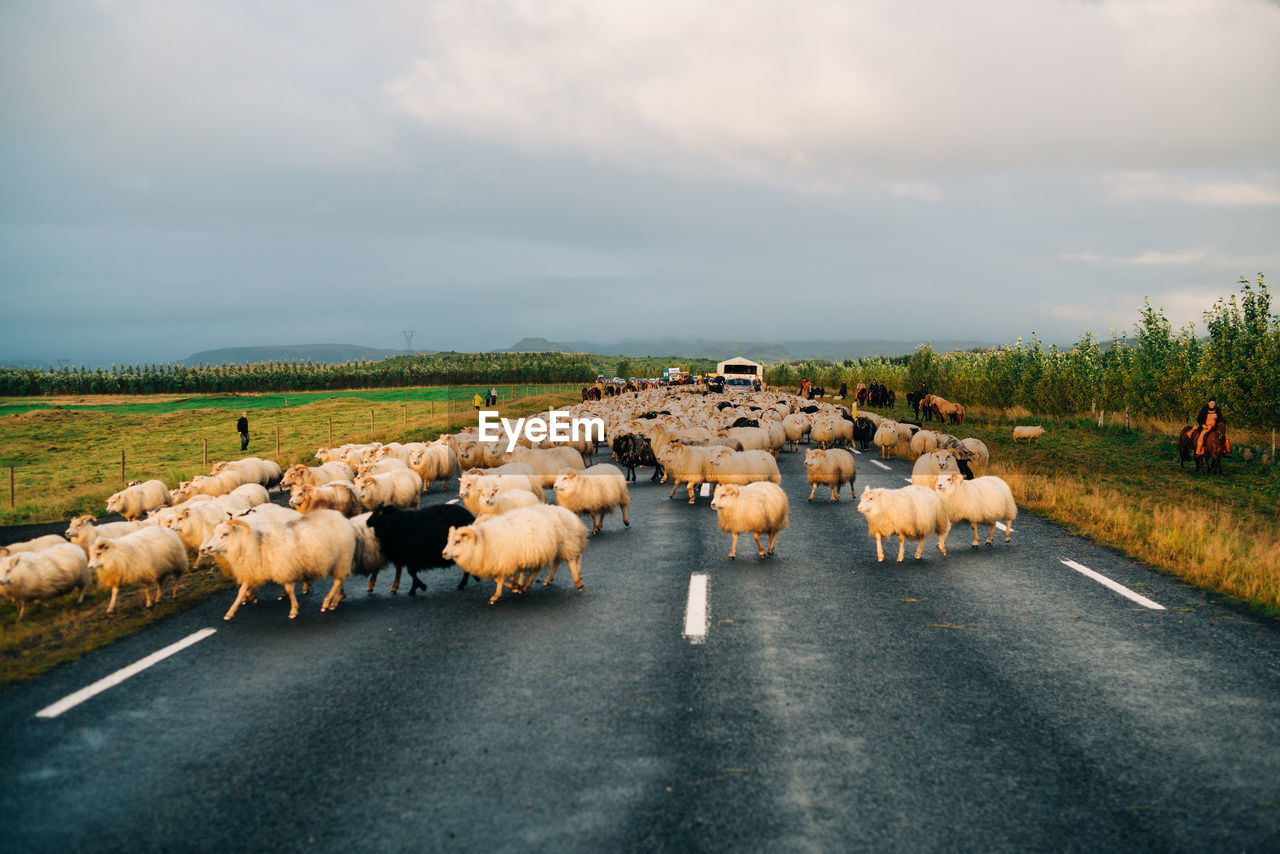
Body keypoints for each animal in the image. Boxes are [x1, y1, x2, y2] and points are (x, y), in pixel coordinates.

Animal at [202, 507, 358, 622]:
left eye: (225, 534)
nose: (208, 548)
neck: (255, 543)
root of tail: (339, 516)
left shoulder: (285, 568)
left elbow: (289, 589)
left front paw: (293, 610)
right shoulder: (253, 571)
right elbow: (241, 591)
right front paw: (230, 612)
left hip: (342, 557)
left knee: (337, 581)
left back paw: (327, 602)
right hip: (337, 561)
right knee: (339, 580)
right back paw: (337, 599)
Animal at [442, 504, 586, 604]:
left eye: (458, 541)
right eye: (448, 540)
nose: (444, 553)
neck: (483, 539)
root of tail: (569, 514)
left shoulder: (503, 561)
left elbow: (500, 579)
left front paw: (498, 595)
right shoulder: (503, 562)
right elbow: (504, 578)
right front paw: (515, 586)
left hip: (566, 543)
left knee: (571, 561)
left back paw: (577, 582)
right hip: (550, 550)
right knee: (550, 565)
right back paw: (535, 582)